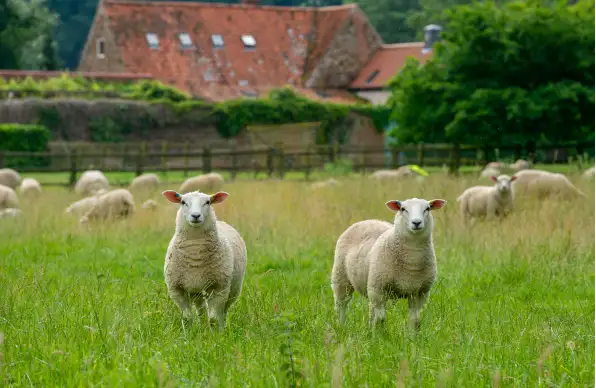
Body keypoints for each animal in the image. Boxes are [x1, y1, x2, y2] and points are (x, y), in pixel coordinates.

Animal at [161, 189, 247, 328]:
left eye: (208, 202)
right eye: (183, 202)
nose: (196, 216)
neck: (195, 251)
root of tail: (221, 221)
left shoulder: (219, 287)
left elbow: (214, 319)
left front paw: (216, 332)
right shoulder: (176, 289)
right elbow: (187, 318)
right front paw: (189, 332)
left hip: (233, 289)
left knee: (223, 311)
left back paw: (222, 327)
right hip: (197, 290)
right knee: (201, 309)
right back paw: (201, 324)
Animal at [330, 197, 448, 330]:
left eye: (427, 208)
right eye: (403, 209)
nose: (416, 222)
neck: (412, 260)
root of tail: (367, 221)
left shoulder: (419, 293)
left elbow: (415, 320)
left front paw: (411, 336)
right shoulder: (378, 289)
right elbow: (381, 318)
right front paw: (379, 334)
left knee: (371, 309)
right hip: (341, 278)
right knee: (341, 304)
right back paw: (341, 326)